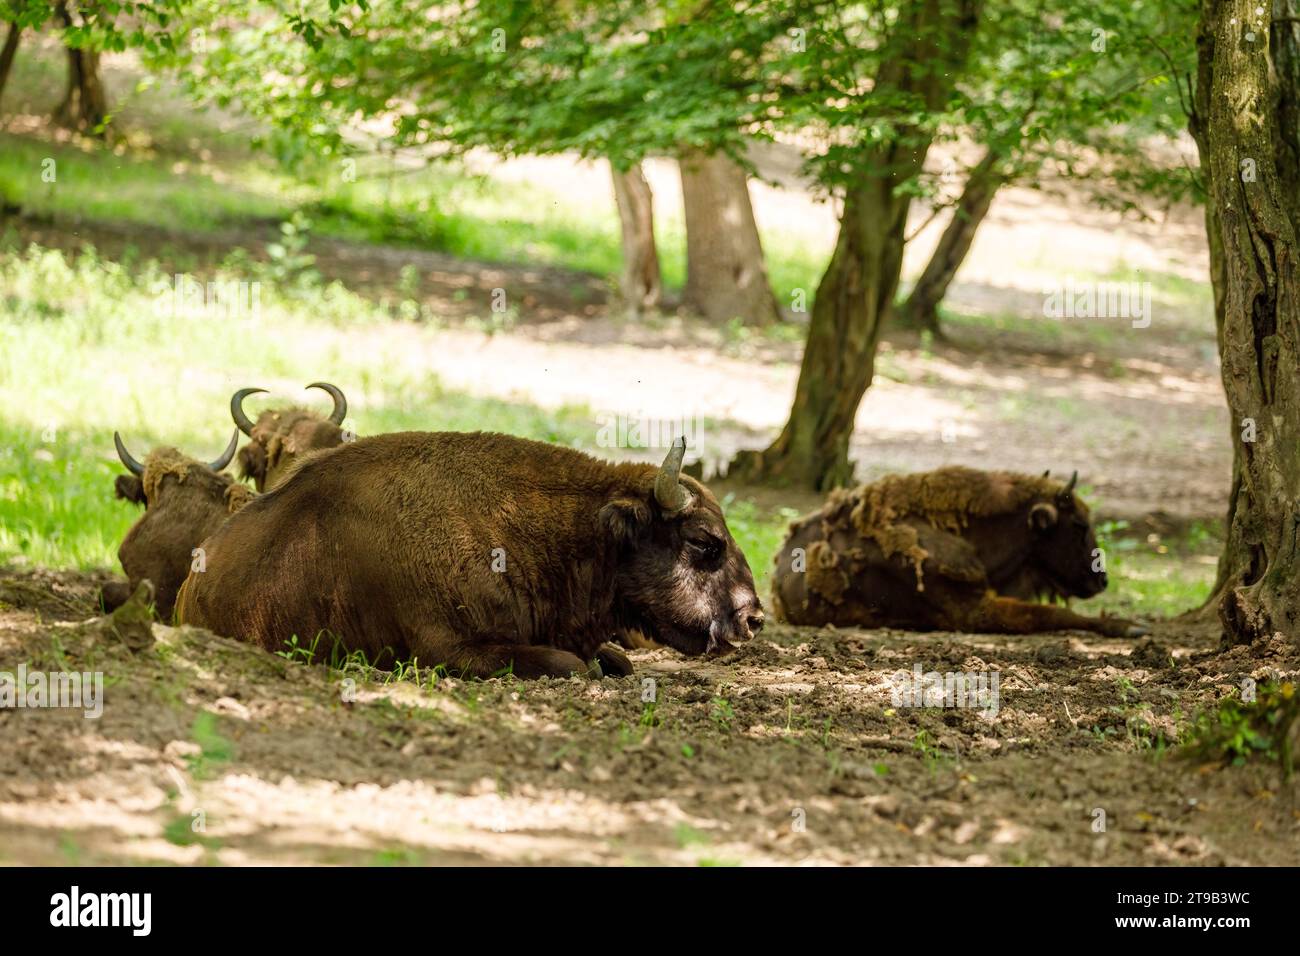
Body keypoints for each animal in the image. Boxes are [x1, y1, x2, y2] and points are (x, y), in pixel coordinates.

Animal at [172, 434, 759, 681]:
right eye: (704, 541)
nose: (752, 617)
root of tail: (189, 588)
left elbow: (615, 659)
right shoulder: (450, 649)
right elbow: (573, 666)